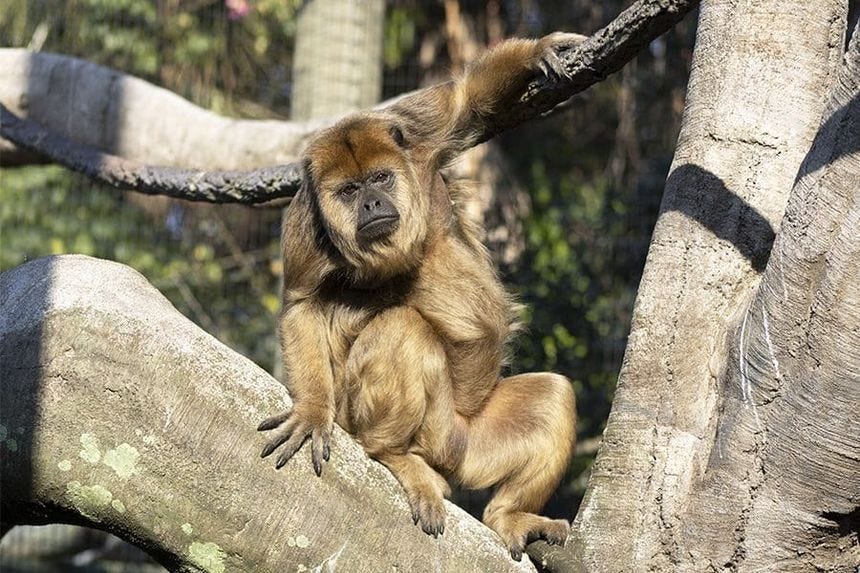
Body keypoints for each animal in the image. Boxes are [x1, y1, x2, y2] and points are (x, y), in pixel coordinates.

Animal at [258, 32, 583, 561]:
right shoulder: (304, 216)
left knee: (554, 394)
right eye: (348, 191)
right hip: (404, 428)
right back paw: (395, 455)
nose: (371, 203)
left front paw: (539, 52)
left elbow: (467, 97)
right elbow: (302, 304)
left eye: (380, 179)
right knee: (403, 330)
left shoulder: (417, 134)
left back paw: (508, 517)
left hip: (469, 444)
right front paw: (311, 409)